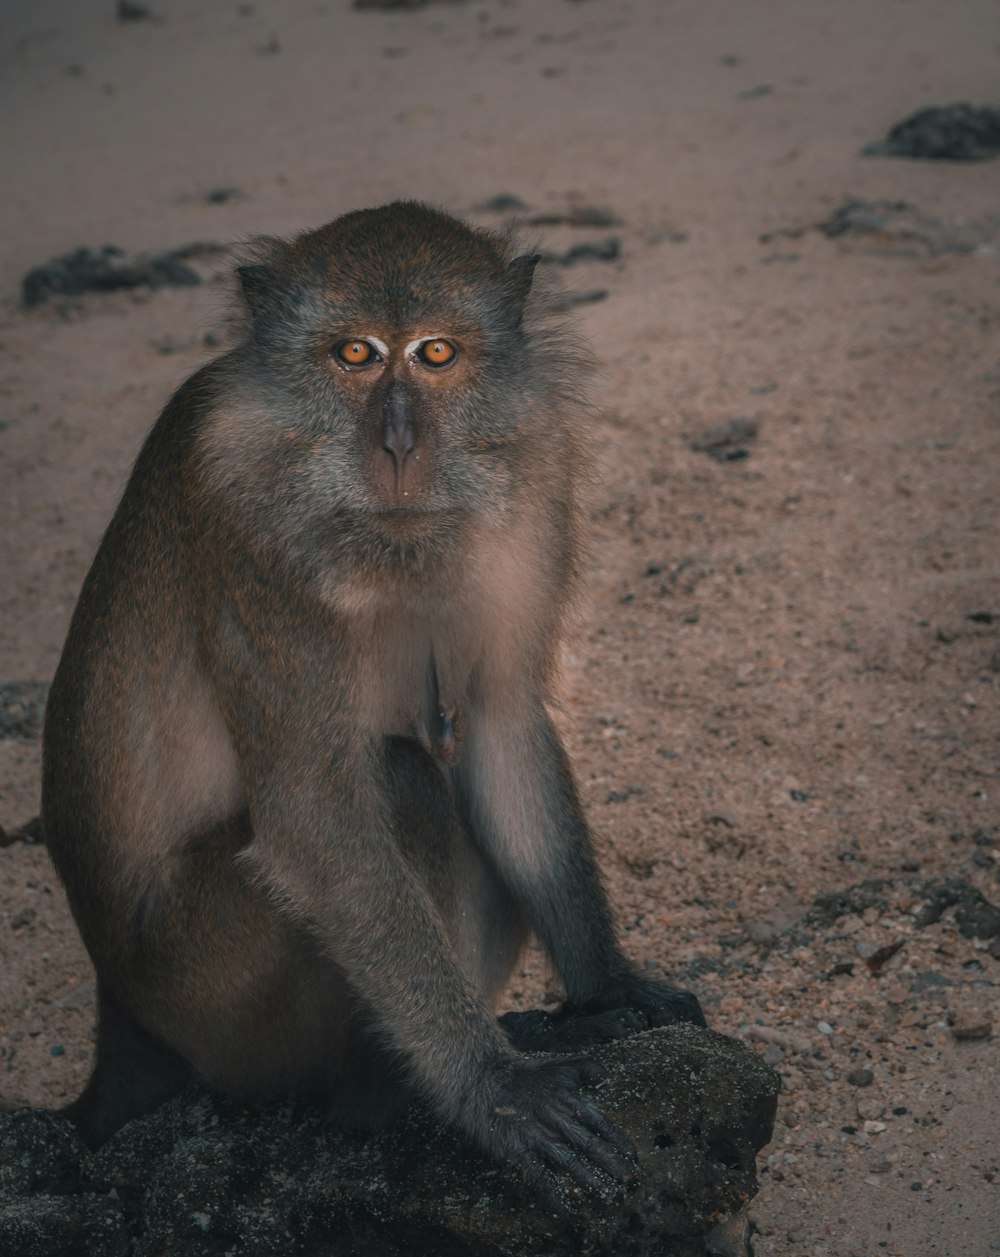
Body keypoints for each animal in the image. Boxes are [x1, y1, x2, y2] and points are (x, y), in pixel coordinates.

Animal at [43, 203, 708, 1196]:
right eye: (353, 355)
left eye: (435, 354)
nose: (398, 443)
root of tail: (116, 1007)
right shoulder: (252, 533)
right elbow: (316, 815)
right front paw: (490, 1087)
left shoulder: (533, 479)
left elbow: (500, 722)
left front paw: (608, 985)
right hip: (211, 991)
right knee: (400, 778)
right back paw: (376, 1101)